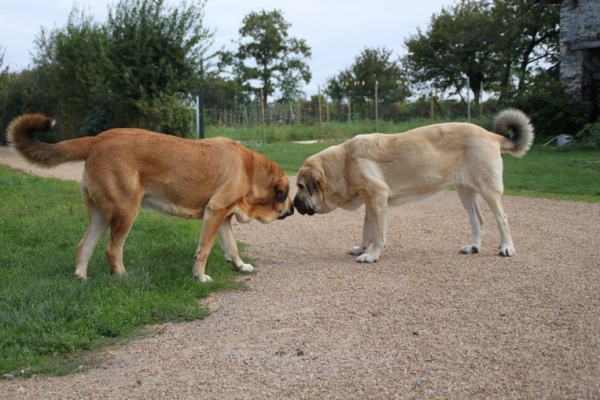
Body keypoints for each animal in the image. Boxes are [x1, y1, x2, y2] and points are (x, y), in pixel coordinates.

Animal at [7, 112, 292, 282]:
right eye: (287, 195)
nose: (293, 209)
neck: (250, 170)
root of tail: (96, 140)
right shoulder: (215, 212)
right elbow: (204, 250)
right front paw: (200, 277)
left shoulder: (222, 218)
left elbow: (231, 247)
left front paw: (240, 266)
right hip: (125, 211)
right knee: (112, 249)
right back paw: (122, 277)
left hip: (101, 216)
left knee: (83, 246)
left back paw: (82, 278)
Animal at [296, 108, 536, 260]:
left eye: (300, 187)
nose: (294, 203)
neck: (344, 163)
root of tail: (493, 135)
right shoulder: (370, 201)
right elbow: (367, 229)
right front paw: (362, 248)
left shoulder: (377, 198)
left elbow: (378, 233)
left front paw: (372, 255)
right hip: (465, 192)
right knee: (478, 219)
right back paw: (474, 247)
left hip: (488, 190)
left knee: (502, 218)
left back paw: (507, 248)